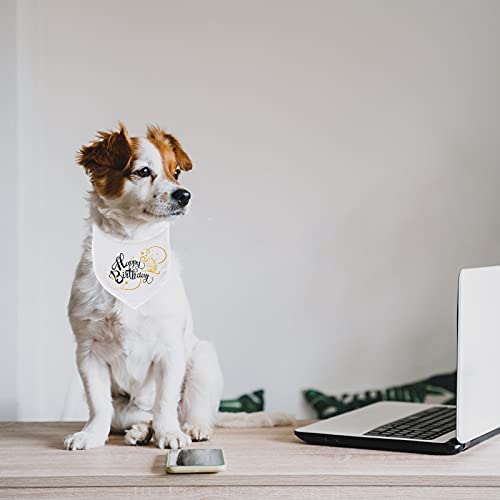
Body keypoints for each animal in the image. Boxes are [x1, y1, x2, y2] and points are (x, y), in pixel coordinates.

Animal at [65, 124, 225, 450]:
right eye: (142, 171)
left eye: (176, 172)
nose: (184, 195)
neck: (131, 250)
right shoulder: (88, 351)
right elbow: (98, 403)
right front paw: (91, 435)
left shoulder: (170, 350)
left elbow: (165, 401)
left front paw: (170, 433)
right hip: (125, 408)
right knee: (137, 415)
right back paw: (141, 431)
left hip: (202, 360)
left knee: (189, 409)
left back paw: (192, 427)